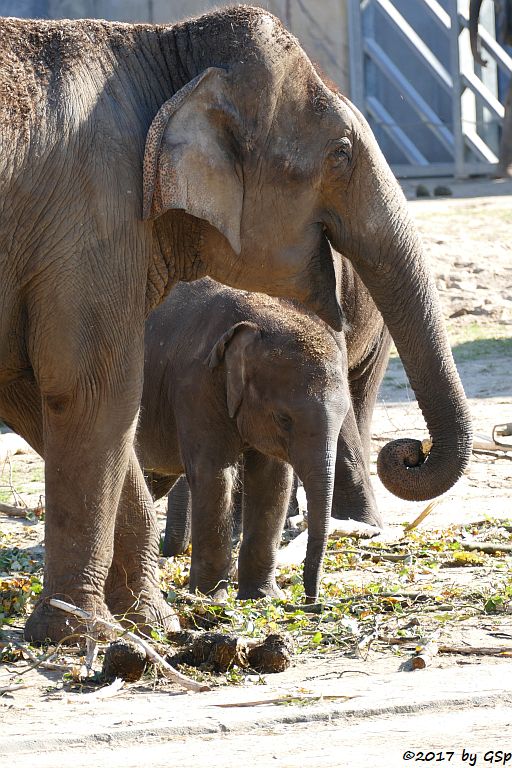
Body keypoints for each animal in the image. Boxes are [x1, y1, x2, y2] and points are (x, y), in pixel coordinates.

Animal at [138, 280, 374, 604]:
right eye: (283, 419)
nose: (310, 601)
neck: (259, 317)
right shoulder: (196, 384)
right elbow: (215, 475)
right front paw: (210, 598)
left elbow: (272, 480)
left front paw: (261, 597)